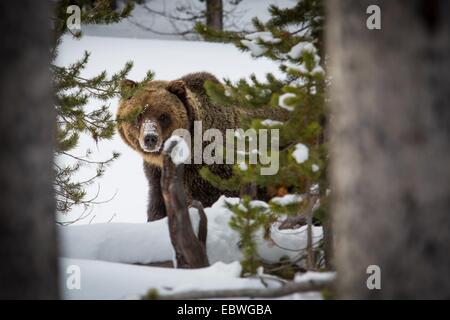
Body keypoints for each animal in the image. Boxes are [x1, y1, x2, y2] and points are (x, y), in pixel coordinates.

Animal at [116, 72, 284, 222]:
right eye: (138, 114)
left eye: (163, 115)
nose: (150, 138)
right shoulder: (156, 174)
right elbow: (157, 205)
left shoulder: (209, 173)